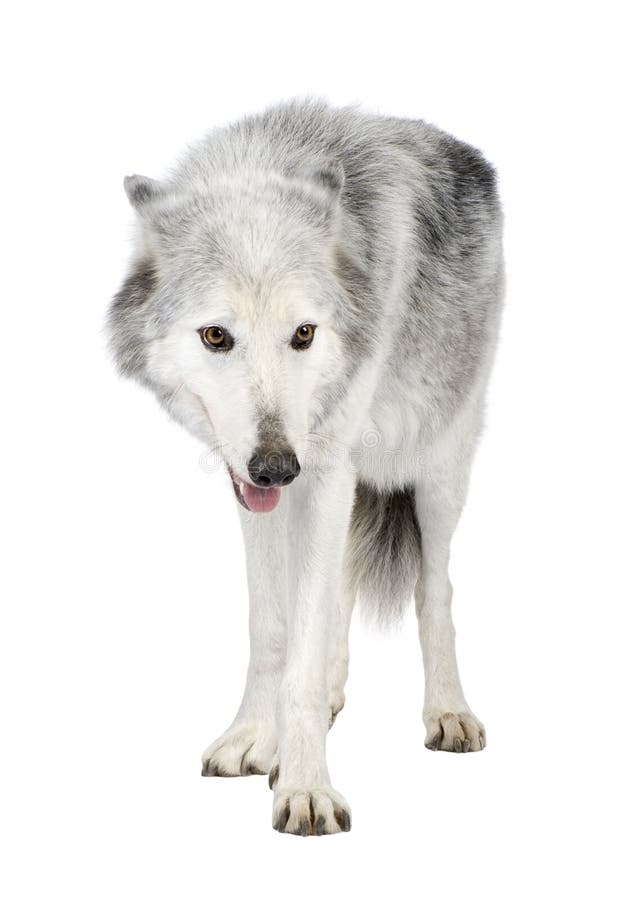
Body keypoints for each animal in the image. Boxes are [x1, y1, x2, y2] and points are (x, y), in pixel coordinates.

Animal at [106, 98, 504, 836]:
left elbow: (309, 642)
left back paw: (448, 712)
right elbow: (275, 633)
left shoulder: (322, 473)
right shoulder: (256, 488)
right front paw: (254, 740)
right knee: (338, 595)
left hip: (437, 467)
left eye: (303, 333)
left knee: (435, 589)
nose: (275, 468)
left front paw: (306, 787)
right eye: (216, 335)